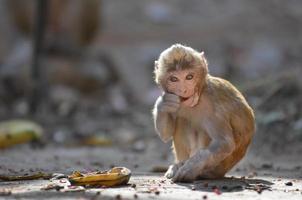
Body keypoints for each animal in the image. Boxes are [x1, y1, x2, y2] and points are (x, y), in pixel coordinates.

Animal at [153, 44, 255, 183]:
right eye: (174, 79)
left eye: (189, 77)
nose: (183, 90)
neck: (200, 94)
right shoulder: (175, 101)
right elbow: (166, 135)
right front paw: (163, 103)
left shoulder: (214, 106)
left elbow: (224, 143)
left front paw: (191, 167)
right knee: (182, 120)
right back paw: (178, 165)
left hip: (217, 168)